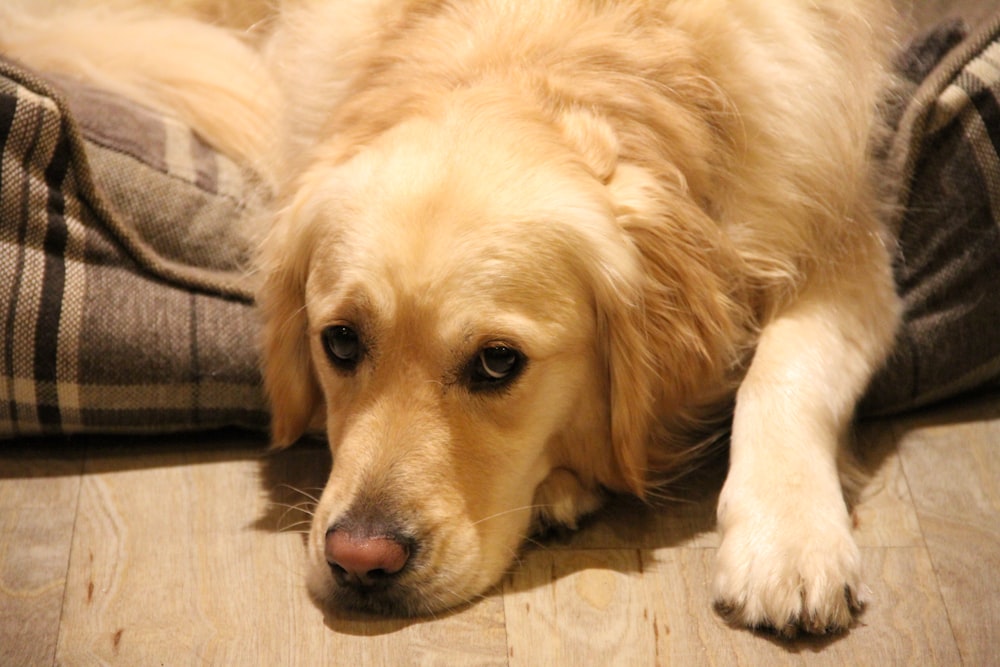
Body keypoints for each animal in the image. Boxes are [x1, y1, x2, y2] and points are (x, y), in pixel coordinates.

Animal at [0, 0, 904, 636]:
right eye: (340, 341)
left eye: (498, 362)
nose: (360, 562)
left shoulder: (846, 239)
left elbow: (785, 370)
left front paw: (788, 539)